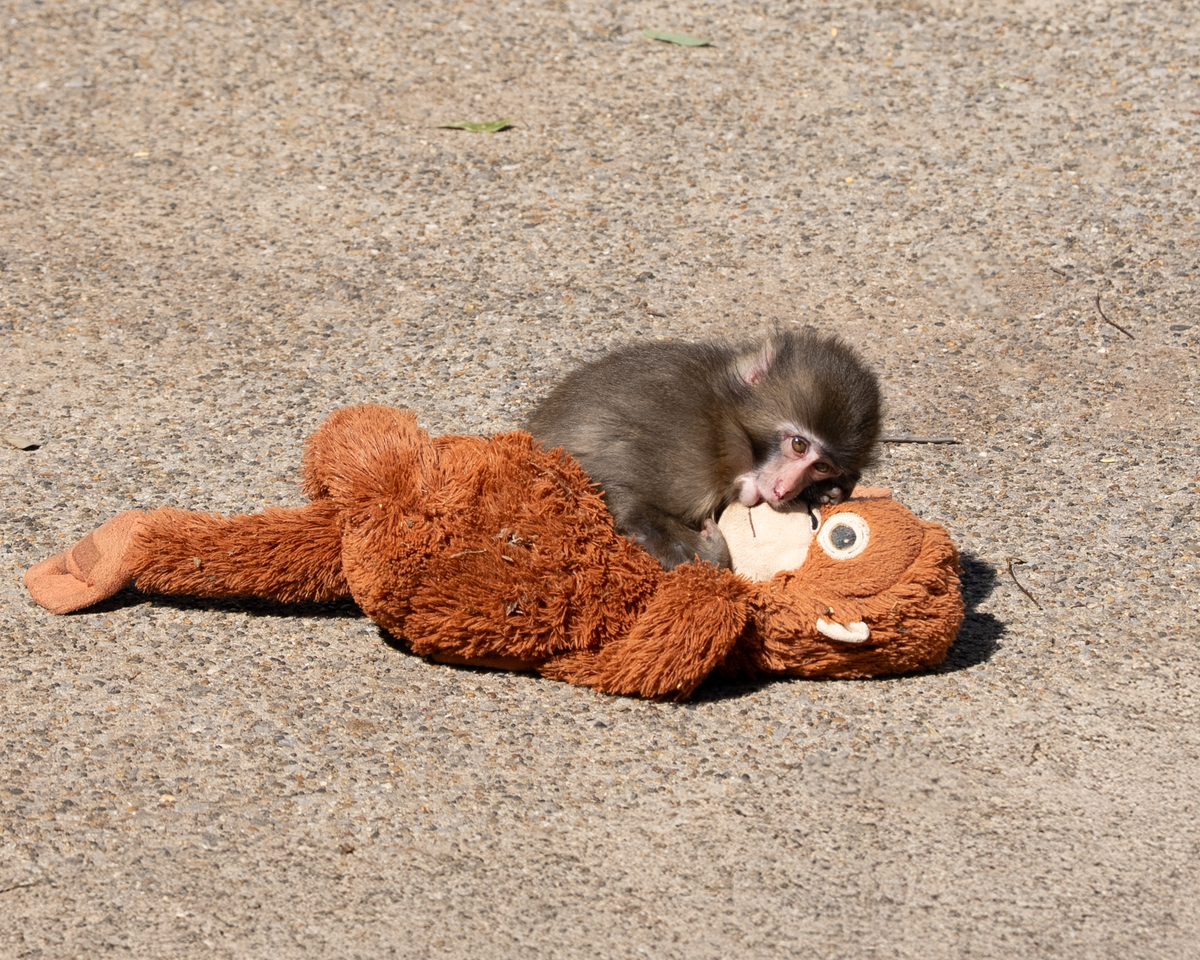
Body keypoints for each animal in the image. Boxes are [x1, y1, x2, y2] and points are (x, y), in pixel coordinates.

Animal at [523, 327, 882, 571]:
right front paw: (711, 552)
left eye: (822, 467)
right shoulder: (689, 449)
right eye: (798, 444)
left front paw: (825, 492)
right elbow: (620, 497)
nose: (785, 489)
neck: (726, 418)